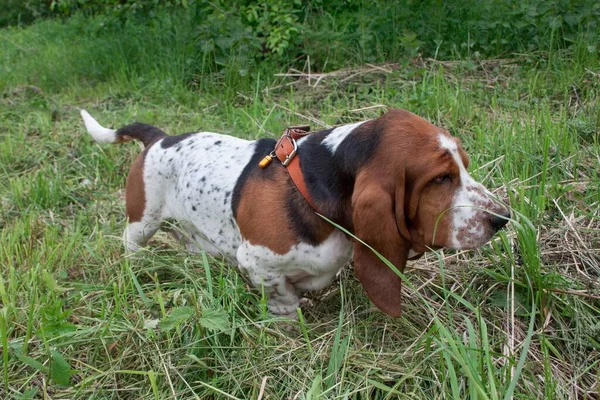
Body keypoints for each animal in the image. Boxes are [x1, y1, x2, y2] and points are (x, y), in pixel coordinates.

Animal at [81, 108, 510, 318]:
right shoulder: (256, 262)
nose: (502, 218)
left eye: (464, 166)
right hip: (142, 222)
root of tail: (159, 139)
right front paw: (289, 320)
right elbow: (284, 297)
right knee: (132, 243)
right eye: (441, 179)